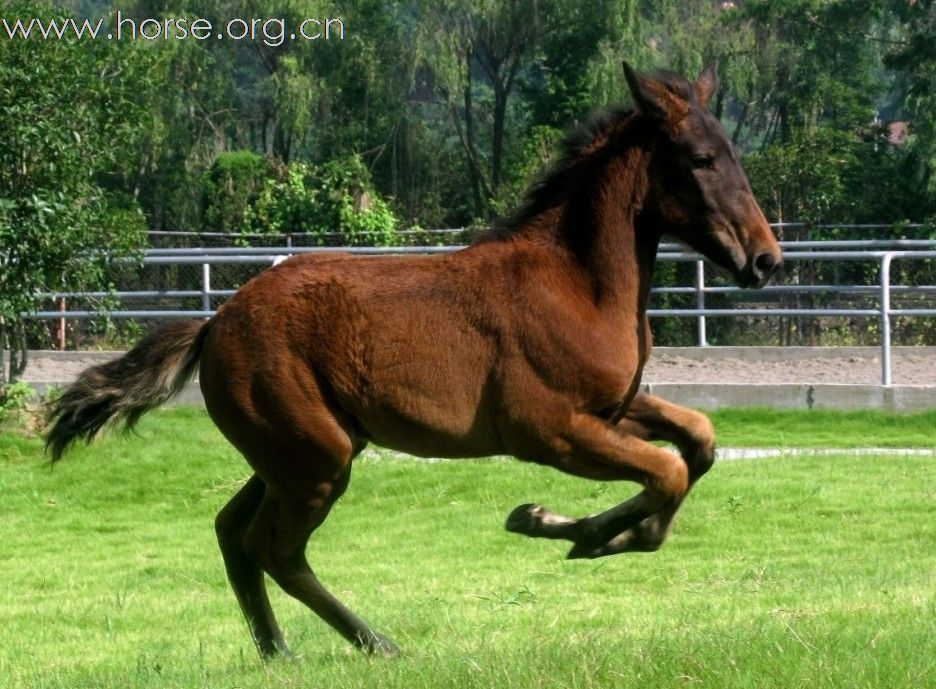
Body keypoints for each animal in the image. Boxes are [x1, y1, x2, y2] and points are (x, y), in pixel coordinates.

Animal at [45, 61, 784, 660]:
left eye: (734, 152)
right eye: (700, 158)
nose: (765, 259)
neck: (578, 283)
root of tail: (214, 323)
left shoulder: (612, 409)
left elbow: (698, 442)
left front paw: (580, 528)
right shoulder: (551, 431)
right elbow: (668, 471)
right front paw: (568, 529)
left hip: (291, 455)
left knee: (233, 531)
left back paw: (278, 649)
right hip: (316, 460)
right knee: (274, 547)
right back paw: (376, 643)